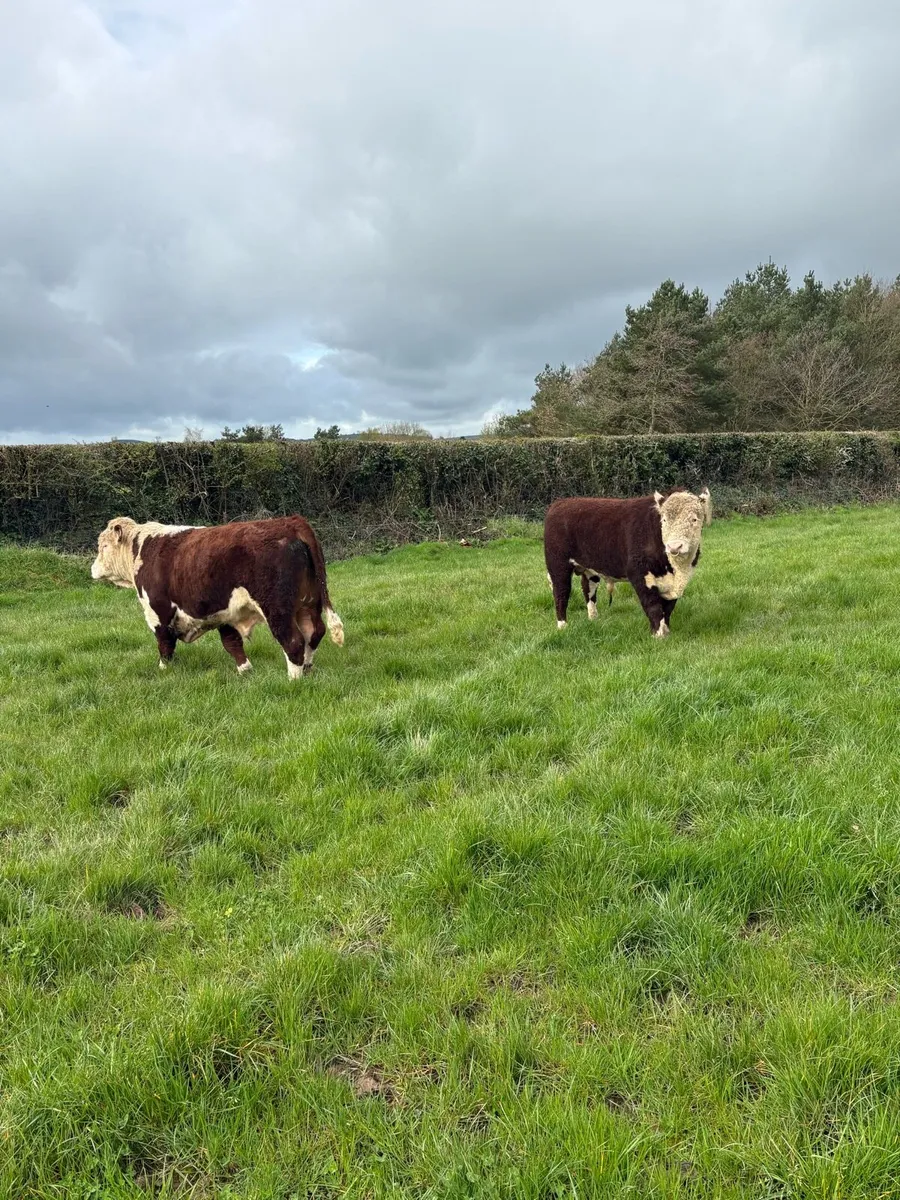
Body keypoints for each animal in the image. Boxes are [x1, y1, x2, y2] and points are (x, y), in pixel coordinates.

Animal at [90, 515, 344, 678]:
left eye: (103, 546)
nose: (92, 569)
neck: (142, 548)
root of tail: (290, 522)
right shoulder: (224, 612)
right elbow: (231, 642)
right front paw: (244, 670)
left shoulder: (158, 612)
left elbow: (164, 643)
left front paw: (164, 670)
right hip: (308, 604)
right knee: (314, 632)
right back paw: (307, 668)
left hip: (278, 609)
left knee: (293, 641)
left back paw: (294, 679)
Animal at [543, 487, 712, 638]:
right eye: (664, 519)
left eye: (694, 519)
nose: (674, 546)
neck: (675, 569)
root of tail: (560, 503)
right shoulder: (639, 575)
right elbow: (653, 607)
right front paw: (658, 635)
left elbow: (668, 609)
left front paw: (666, 631)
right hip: (558, 565)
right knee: (561, 593)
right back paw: (562, 626)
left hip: (589, 568)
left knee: (588, 589)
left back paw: (593, 619)